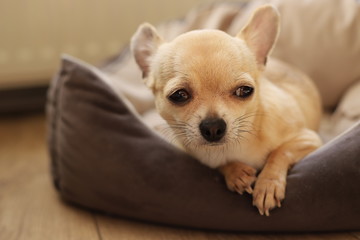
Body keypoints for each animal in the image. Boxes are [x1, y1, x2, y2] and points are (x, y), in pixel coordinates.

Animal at [131, 5, 322, 216]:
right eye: (179, 95)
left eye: (244, 91)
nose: (213, 127)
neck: (237, 145)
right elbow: (219, 164)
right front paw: (235, 172)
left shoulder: (308, 139)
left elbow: (280, 152)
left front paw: (268, 185)